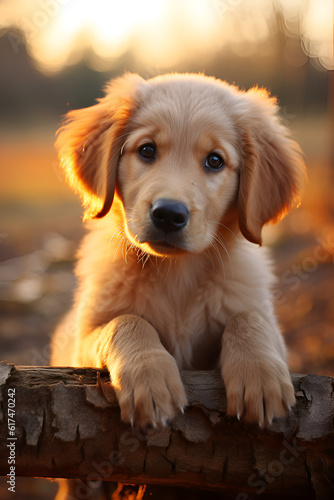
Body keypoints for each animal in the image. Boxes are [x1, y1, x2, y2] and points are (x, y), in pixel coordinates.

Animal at [51, 72, 304, 432]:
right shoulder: (82, 343)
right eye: (147, 150)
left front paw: (260, 375)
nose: (168, 214)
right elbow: (126, 321)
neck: (177, 273)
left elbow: (248, 318)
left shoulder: (264, 320)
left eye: (215, 160)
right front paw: (150, 377)